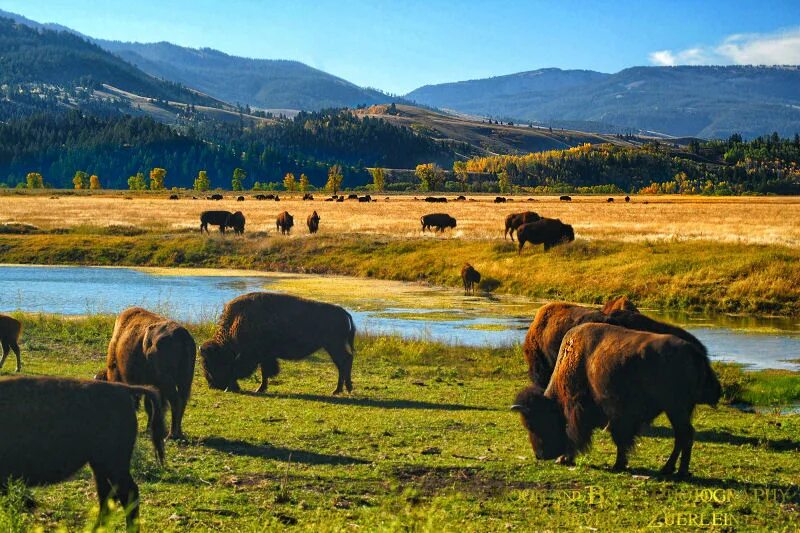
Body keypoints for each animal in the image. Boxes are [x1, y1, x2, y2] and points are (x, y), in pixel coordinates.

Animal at [97, 306, 197, 438]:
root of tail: (183, 336)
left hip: (167, 382)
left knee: (176, 402)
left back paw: (171, 435)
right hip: (185, 380)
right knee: (182, 400)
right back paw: (178, 433)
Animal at [198, 290, 354, 394]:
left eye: (210, 363)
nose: (212, 385)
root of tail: (343, 312)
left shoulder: (257, 356)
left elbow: (259, 372)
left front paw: (255, 389)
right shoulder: (265, 357)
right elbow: (264, 372)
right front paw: (260, 388)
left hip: (334, 346)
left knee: (344, 362)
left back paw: (339, 390)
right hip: (332, 347)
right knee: (344, 362)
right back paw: (343, 389)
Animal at [516, 322, 720, 476]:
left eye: (534, 423)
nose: (540, 455)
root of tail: (695, 353)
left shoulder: (585, 410)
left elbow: (583, 434)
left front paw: (566, 458)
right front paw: (619, 463)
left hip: (676, 409)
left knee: (685, 434)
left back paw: (679, 471)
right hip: (680, 411)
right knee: (683, 436)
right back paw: (669, 469)